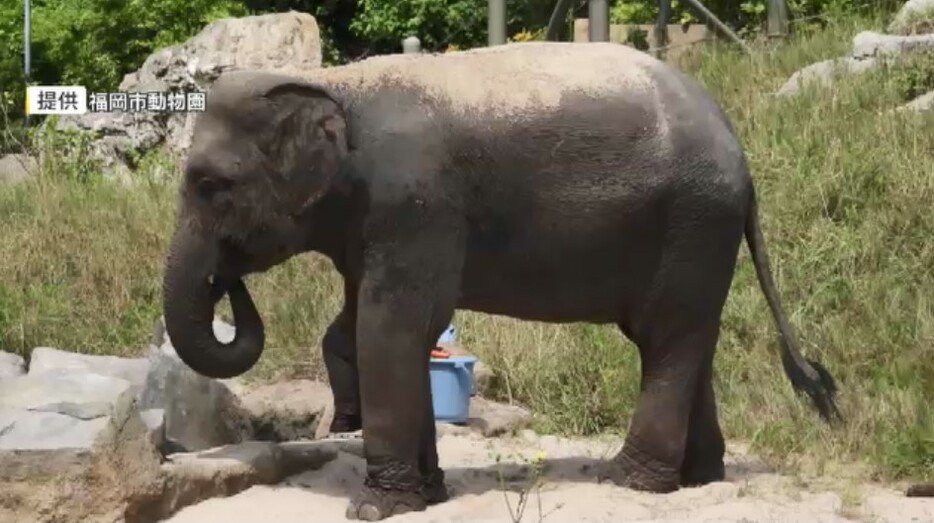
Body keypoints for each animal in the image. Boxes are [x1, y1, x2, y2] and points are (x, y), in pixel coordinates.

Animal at [165, 41, 844, 520]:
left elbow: (391, 328)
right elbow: (377, 327)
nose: (225, 282)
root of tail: (741, 153)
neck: (335, 83)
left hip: (693, 223)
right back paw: (697, 480)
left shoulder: (417, 206)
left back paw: (629, 481)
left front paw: (375, 508)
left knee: (668, 339)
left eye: (210, 185)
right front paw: (428, 494)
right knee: (689, 339)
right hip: (698, 234)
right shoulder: (380, 223)